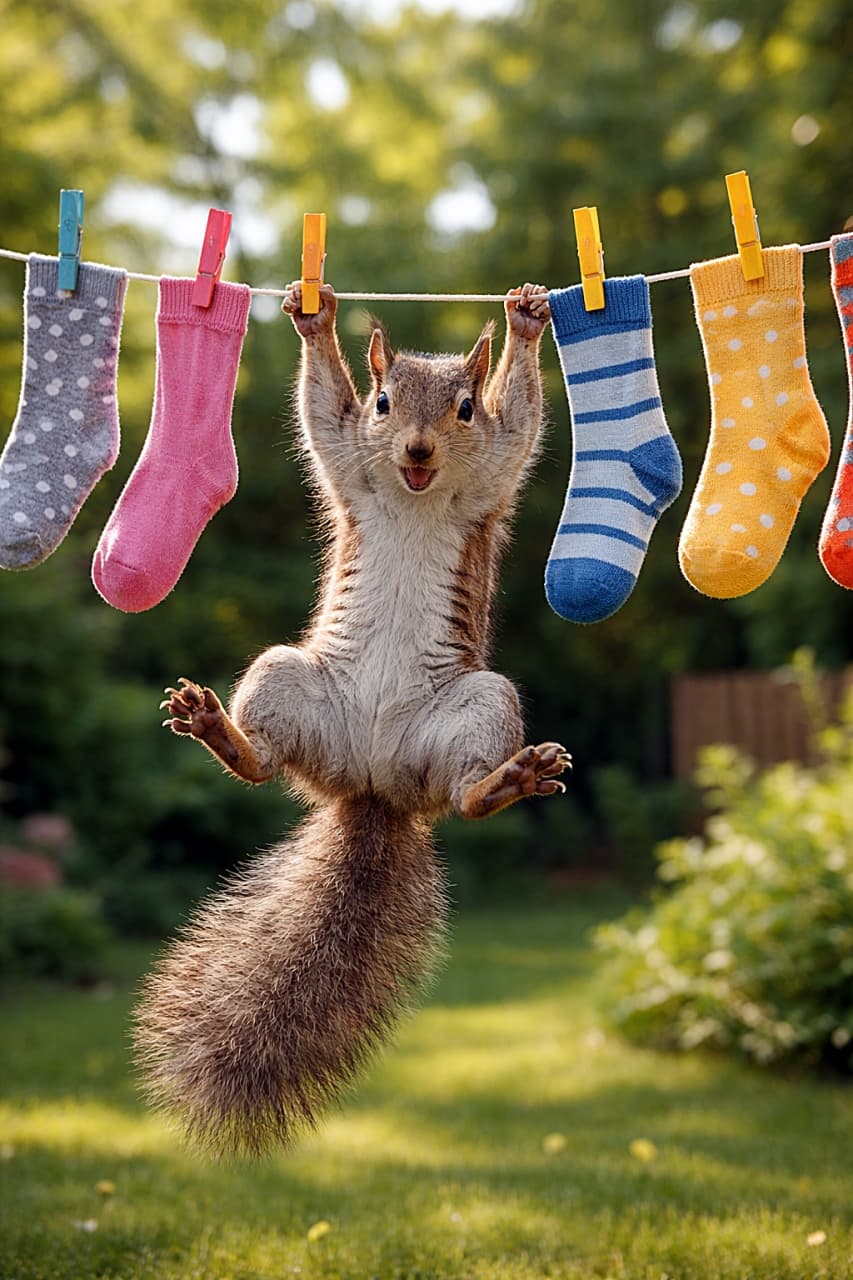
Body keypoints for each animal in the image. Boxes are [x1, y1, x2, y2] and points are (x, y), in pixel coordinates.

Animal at [134, 281, 571, 1157]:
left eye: (464, 408)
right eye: (381, 401)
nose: (418, 451)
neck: (412, 497)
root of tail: (373, 789)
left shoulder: (494, 468)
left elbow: (522, 416)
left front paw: (525, 321)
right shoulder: (346, 460)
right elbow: (319, 411)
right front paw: (316, 320)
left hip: (480, 705)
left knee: (466, 795)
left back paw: (508, 778)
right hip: (283, 678)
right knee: (263, 763)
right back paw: (217, 729)